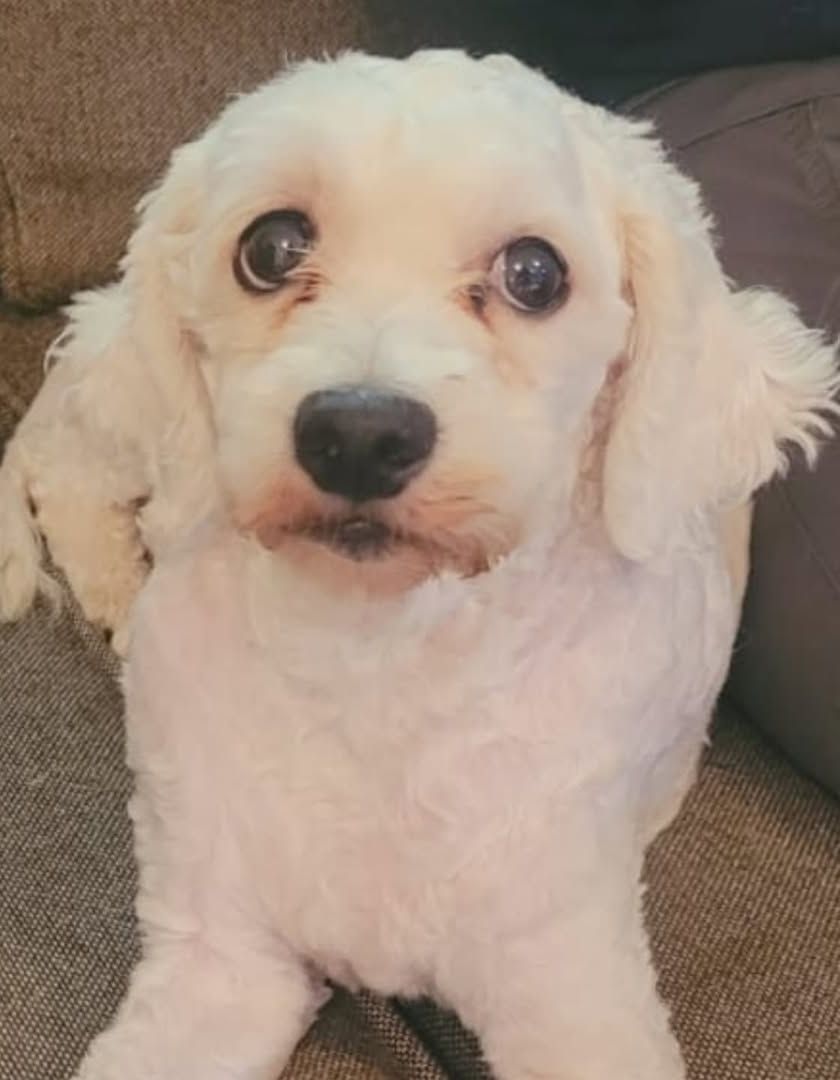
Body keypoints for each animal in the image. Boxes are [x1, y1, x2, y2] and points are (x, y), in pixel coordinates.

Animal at [0, 50, 837, 1080]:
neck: (375, 660)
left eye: (533, 273)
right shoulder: (220, 959)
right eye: (271, 247)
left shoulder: (568, 987)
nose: (358, 435)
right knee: (67, 462)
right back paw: (120, 581)